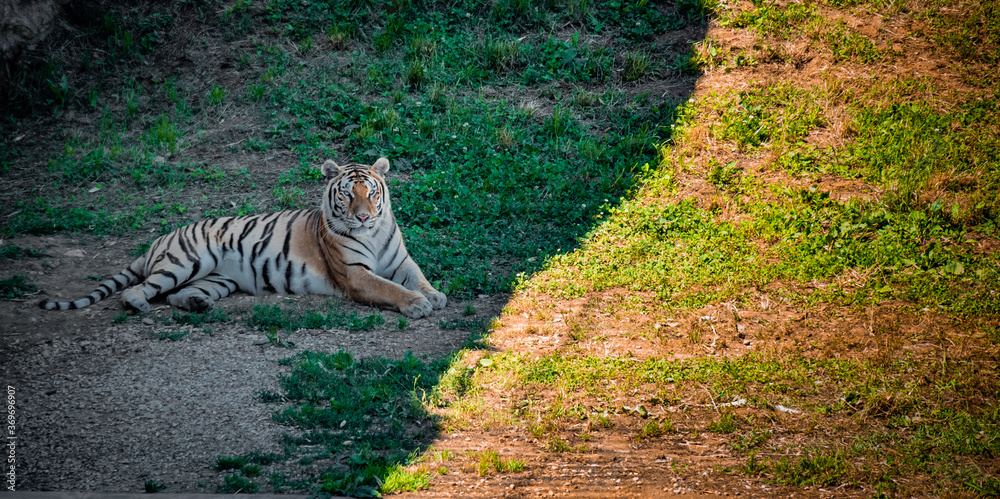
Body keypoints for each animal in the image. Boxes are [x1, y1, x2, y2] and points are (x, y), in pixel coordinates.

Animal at [39, 157, 447, 319]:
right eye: (347, 194)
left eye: (372, 193)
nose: (362, 216)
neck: (373, 234)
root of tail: (159, 239)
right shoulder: (356, 274)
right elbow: (389, 288)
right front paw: (416, 304)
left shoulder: (402, 262)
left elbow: (418, 279)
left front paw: (435, 296)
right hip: (185, 261)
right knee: (142, 289)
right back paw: (138, 304)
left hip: (217, 279)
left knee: (174, 296)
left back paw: (197, 305)